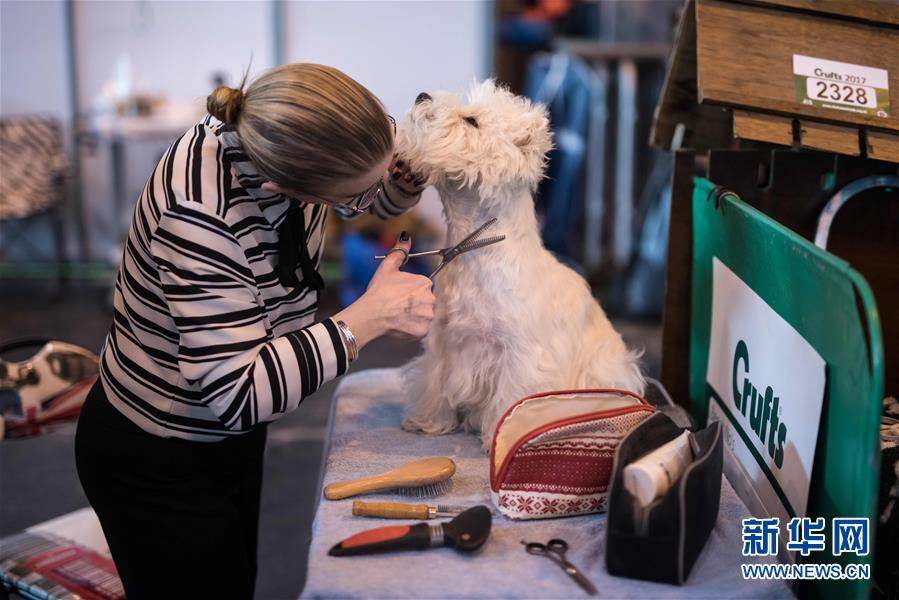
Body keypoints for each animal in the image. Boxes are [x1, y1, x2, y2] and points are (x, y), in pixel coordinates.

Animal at [398, 79, 644, 448]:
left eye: (471, 120)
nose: (421, 95)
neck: (477, 253)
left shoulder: (521, 355)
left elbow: (513, 398)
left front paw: (503, 436)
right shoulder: (444, 341)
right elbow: (435, 384)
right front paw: (428, 422)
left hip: (605, 366)